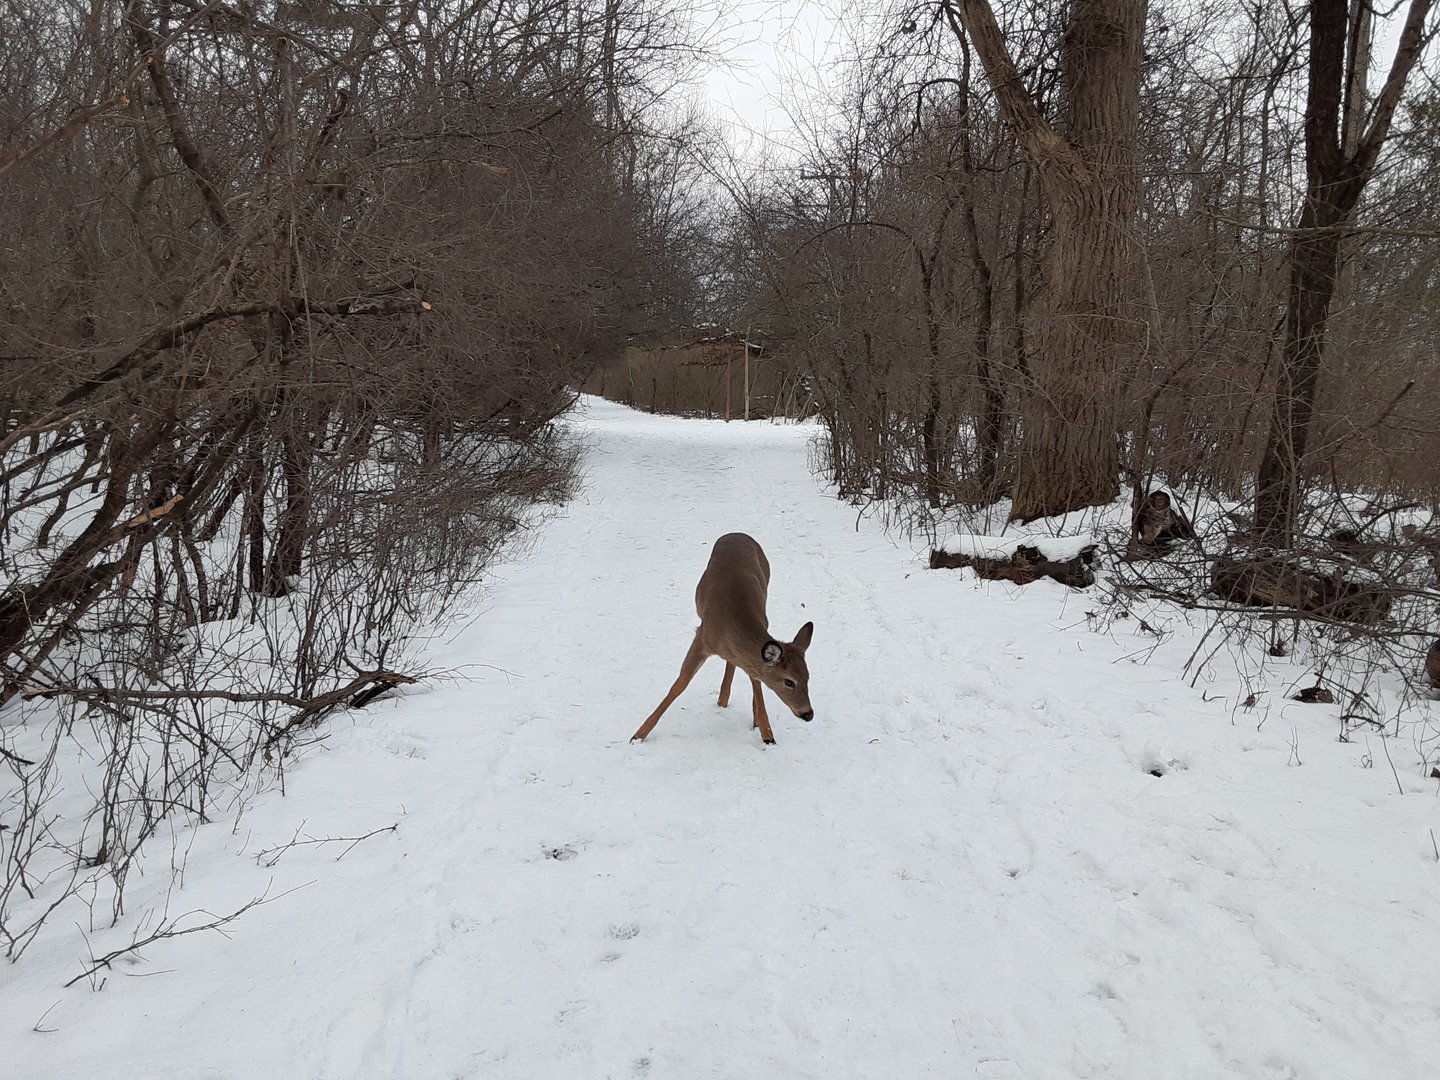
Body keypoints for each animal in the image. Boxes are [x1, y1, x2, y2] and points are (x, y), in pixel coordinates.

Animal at [631, 532, 814, 745]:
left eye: (808, 677)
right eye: (789, 681)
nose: (808, 714)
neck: (731, 623)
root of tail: (737, 534)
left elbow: (756, 680)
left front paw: (766, 733)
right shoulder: (701, 637)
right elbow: (680, 684)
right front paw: (638, 735)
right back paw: (723, 699)